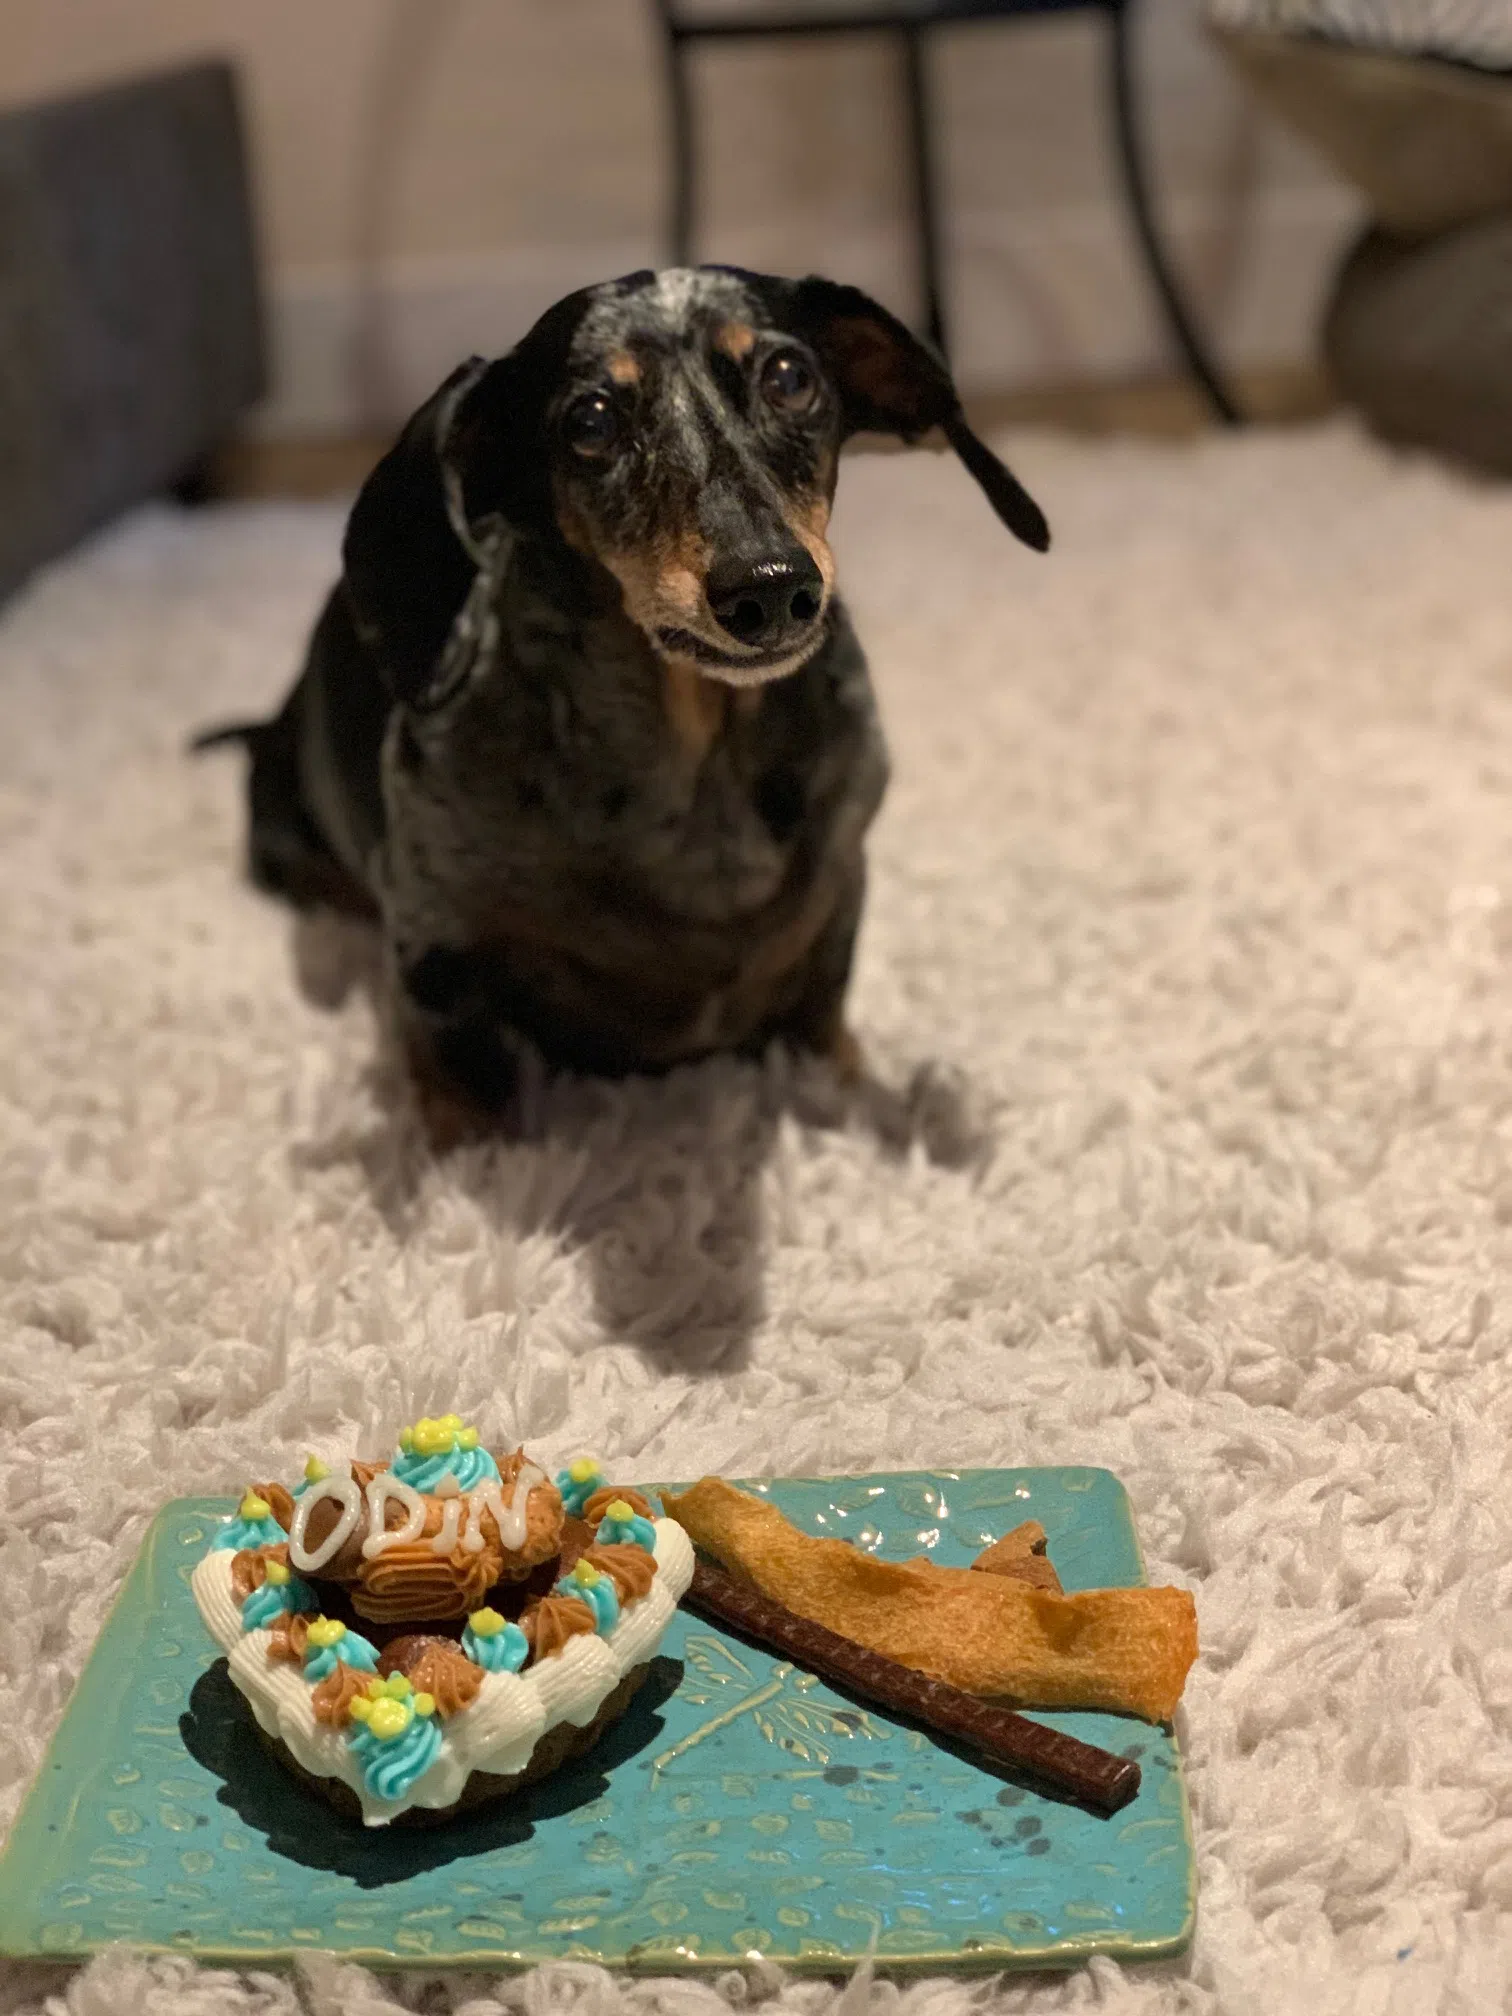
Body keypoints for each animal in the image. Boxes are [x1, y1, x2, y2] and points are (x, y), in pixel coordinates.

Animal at [197, 267, 1048, 1128]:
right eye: (591, 421)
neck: (703, 765)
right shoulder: (431, 935)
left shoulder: (840, 888)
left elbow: (824, 1020)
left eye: (789, 378)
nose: (771, 588)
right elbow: (460, 1080)